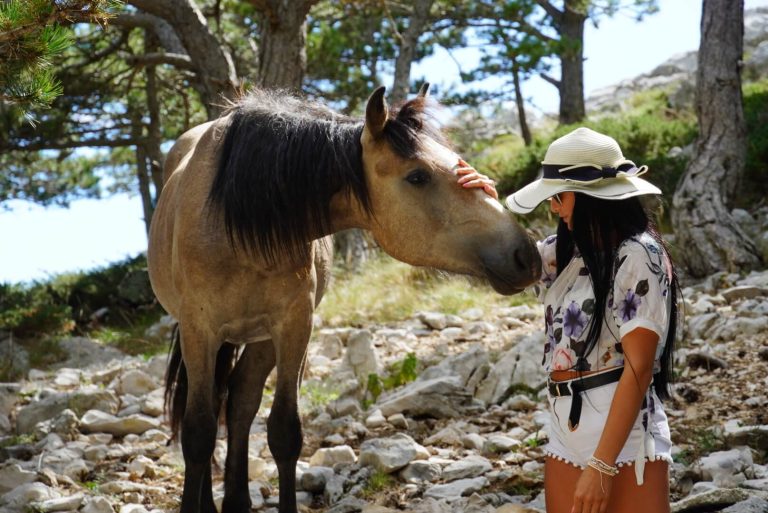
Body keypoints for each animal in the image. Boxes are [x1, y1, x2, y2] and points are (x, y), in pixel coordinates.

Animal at [147, 84, 541, 513]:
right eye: (418, 176)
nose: (526, 254)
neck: (237, 223)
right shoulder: (199, 329)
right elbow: (198, 433)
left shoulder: (294, 325)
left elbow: (284, 432)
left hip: (261, 339)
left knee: (239, 403)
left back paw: (237, 501)